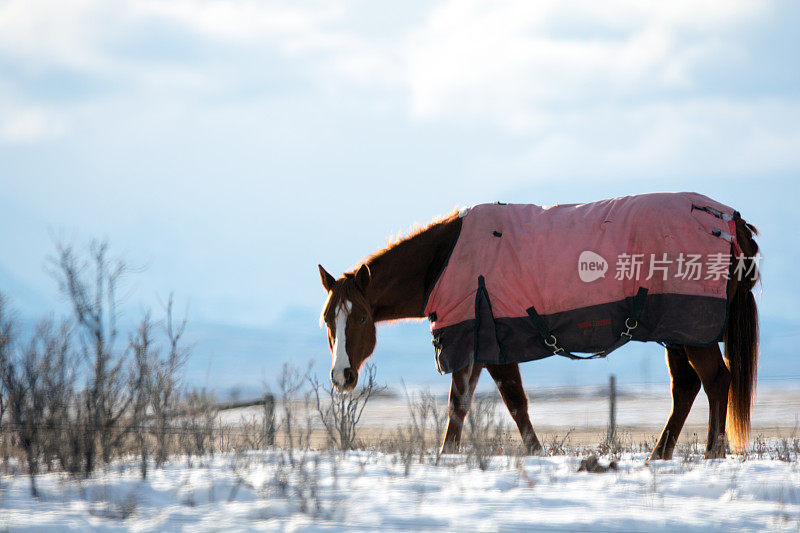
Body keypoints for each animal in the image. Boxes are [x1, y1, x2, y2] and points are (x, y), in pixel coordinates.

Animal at [318, 193, 756, 460]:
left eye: (360, 317)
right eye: (327, 319)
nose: (342, 376)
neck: (444, 260)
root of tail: (732, 223)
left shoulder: (476, 343)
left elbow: (473, 404)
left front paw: (453, 457)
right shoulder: (489, 346)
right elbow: (502, 404)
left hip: (693, 331)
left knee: (716, 381)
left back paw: (712, 453)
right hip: (677, 332)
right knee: (686, 388)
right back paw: (658, 457)